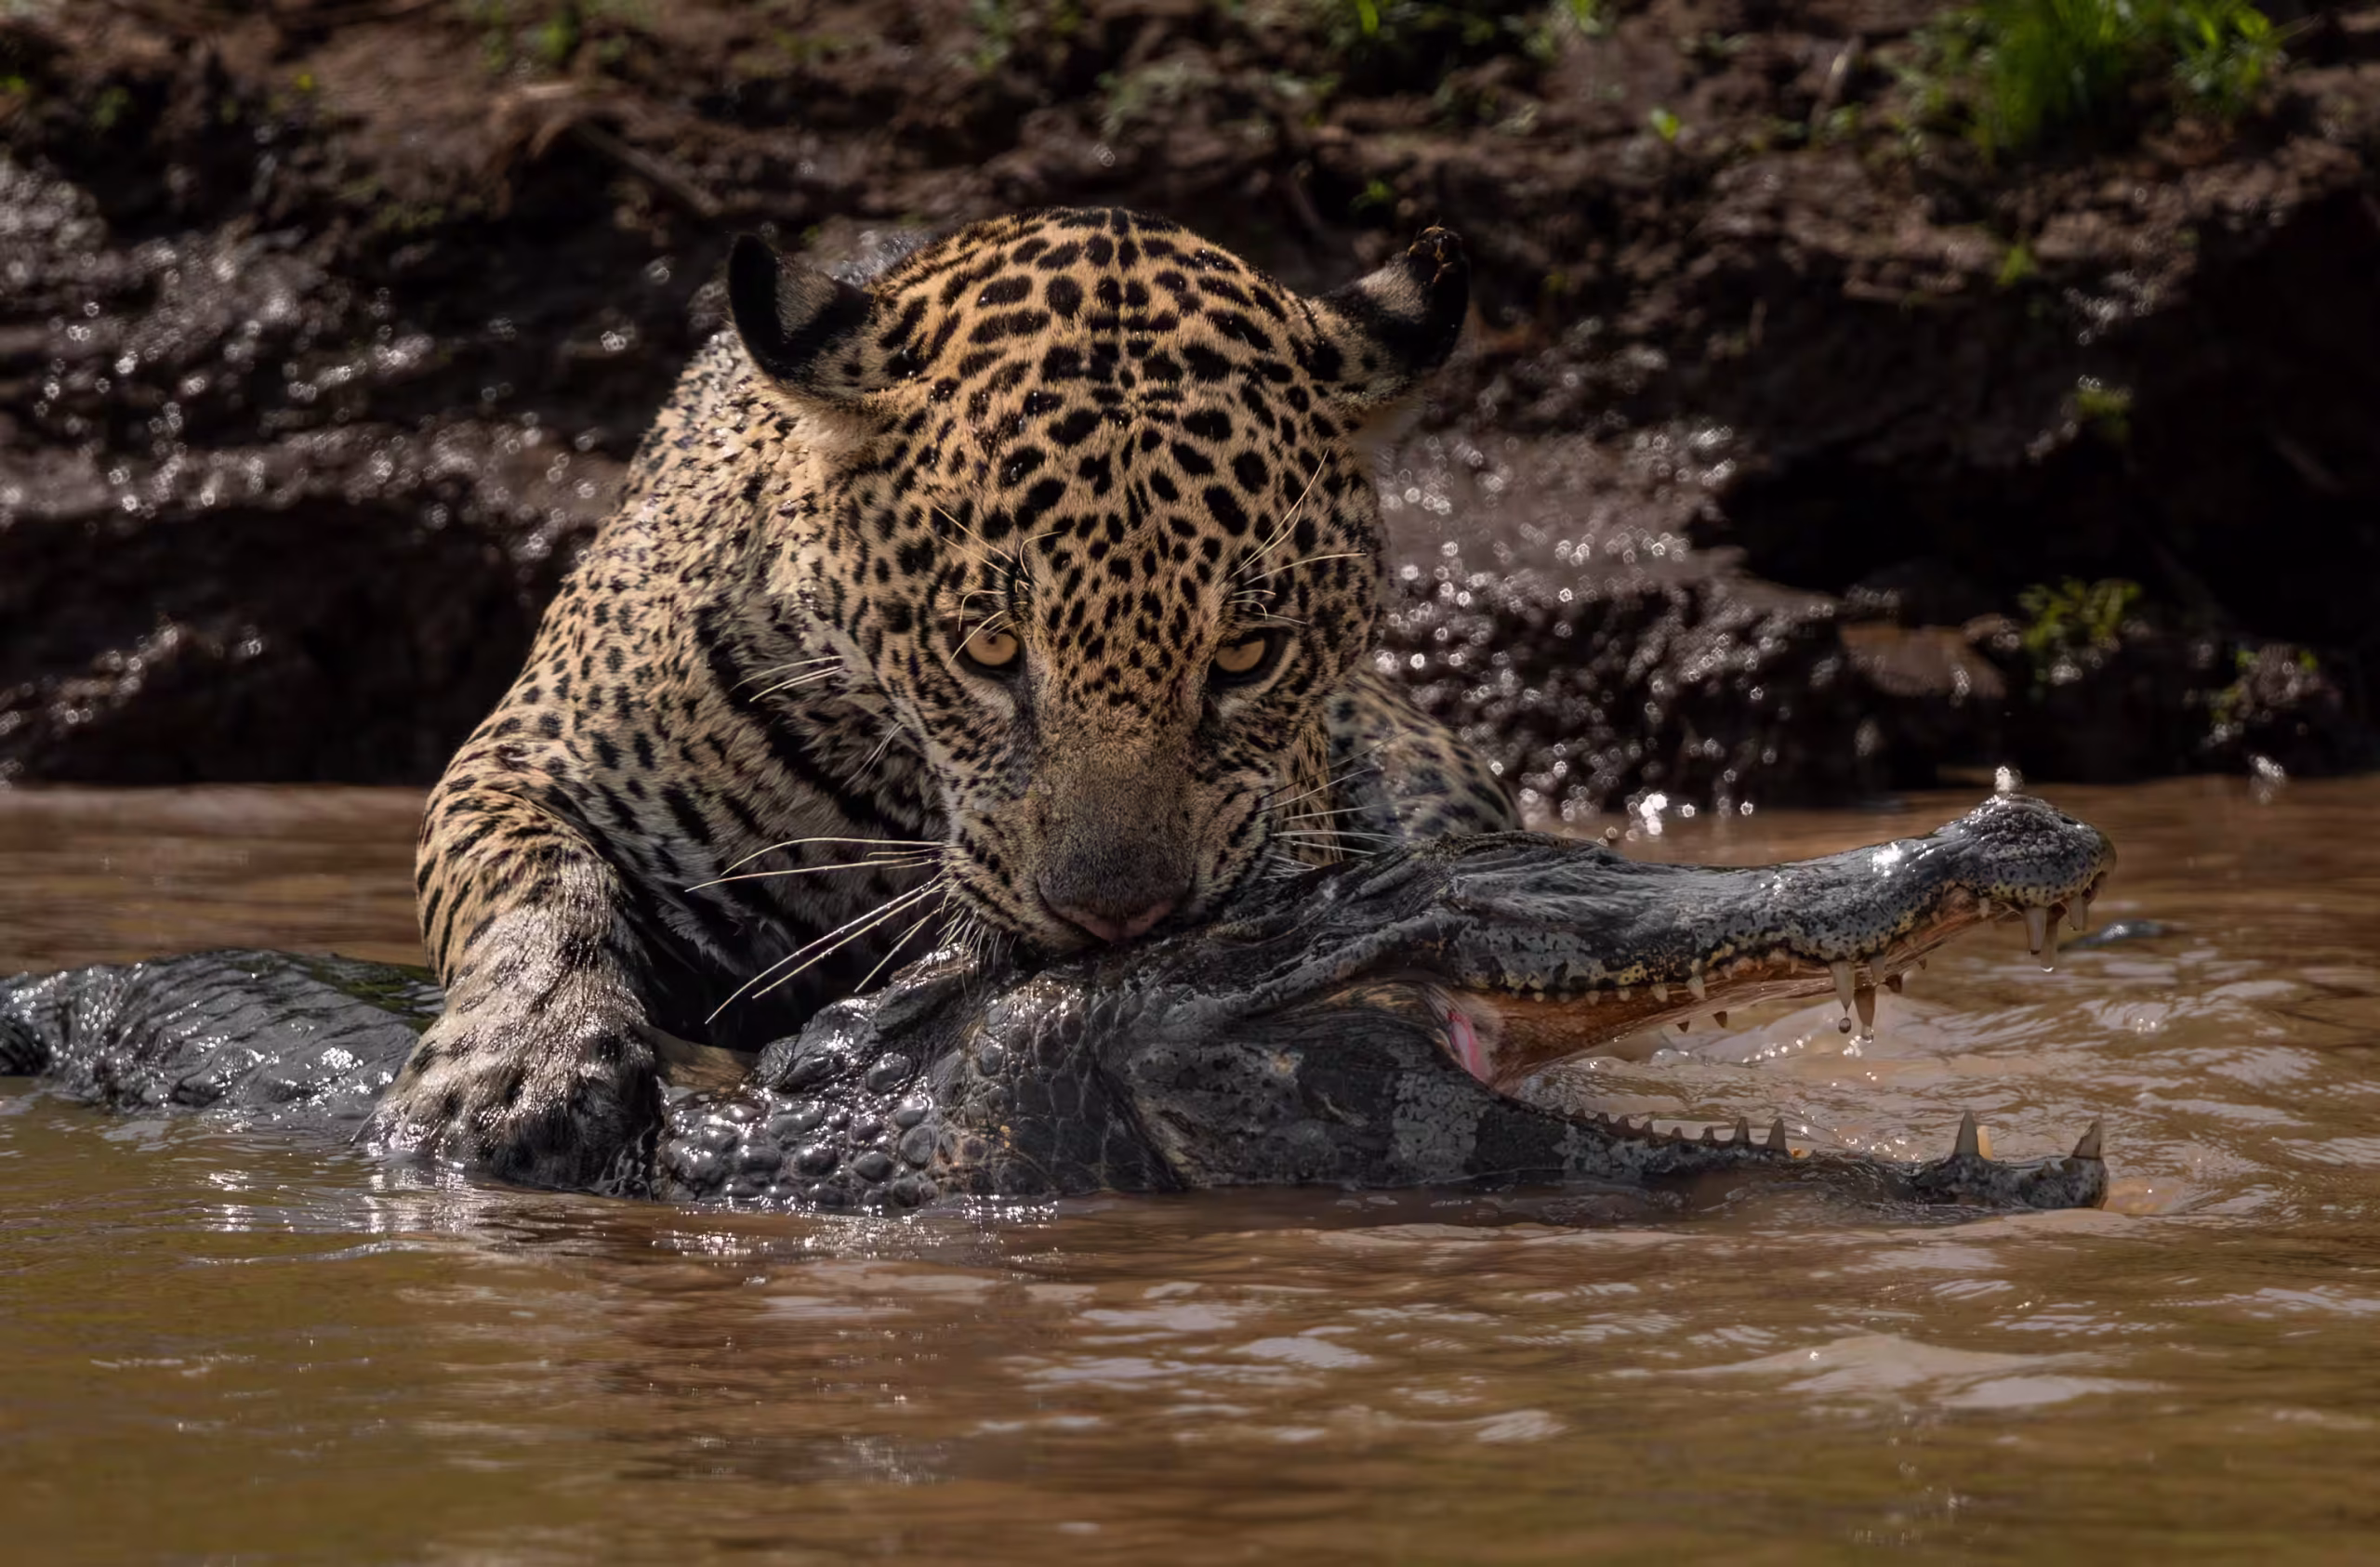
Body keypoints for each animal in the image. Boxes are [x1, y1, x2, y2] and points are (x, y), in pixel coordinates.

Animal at [365, 206, 1518, 1190]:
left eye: (1243, 656)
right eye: (991, 650)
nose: (1118, 920)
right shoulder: (527, 759)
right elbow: (537, 882)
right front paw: (515, 1072)